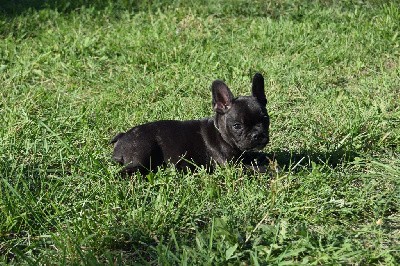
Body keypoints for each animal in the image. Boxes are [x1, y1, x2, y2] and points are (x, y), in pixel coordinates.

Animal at [111, 72, 270, 175]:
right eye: (237, 126)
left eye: (266, 119)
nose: (257, 134)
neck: (221, 134)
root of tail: (122, 137)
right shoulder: (232, 166)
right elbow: (257, 169)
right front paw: (272, 170)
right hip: (142, 156)